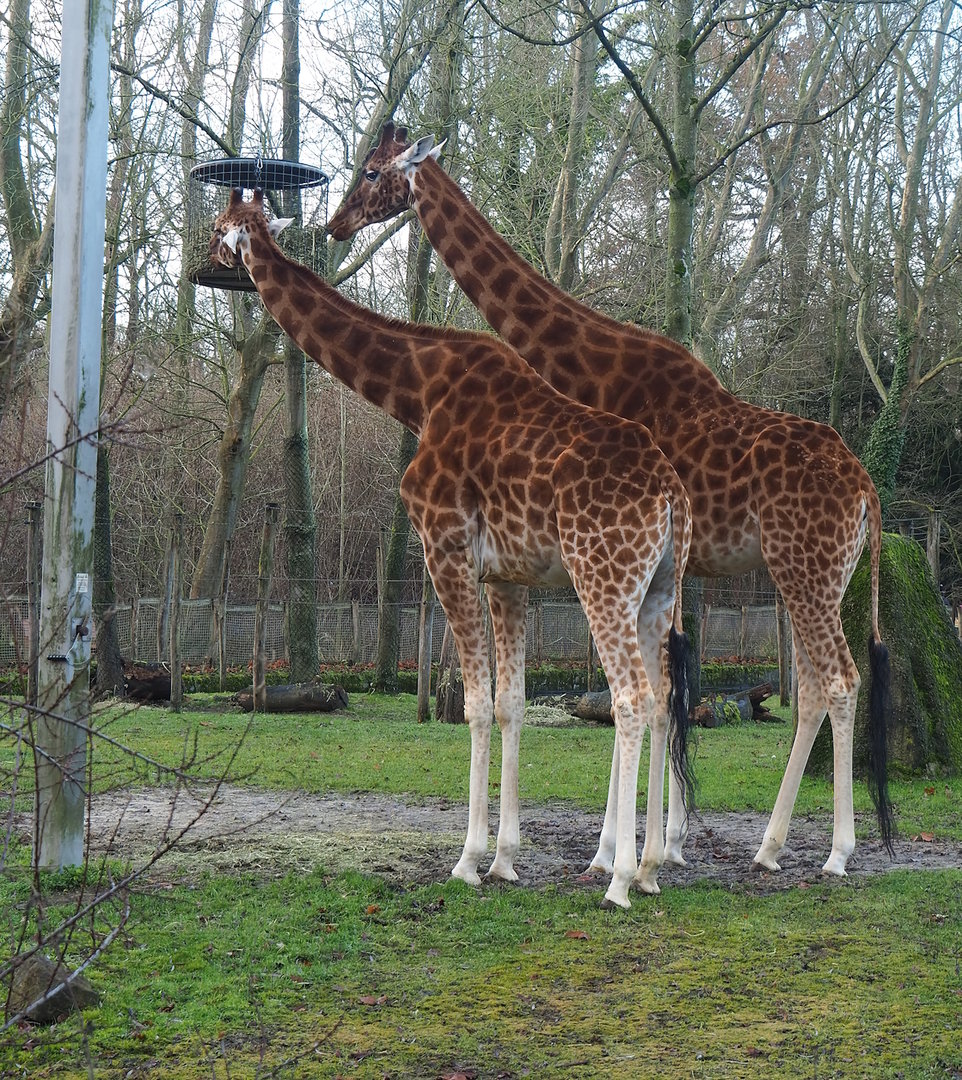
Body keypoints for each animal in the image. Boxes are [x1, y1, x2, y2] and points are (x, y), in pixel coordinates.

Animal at [209, 187, 694, 908]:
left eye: (221, 226)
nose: (211, 262)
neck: (417, 389)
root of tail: (669, 493)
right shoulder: (508, 576)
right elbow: (512, 704)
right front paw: (507, 859)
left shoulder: (445, 548)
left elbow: (473, 705)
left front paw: (467, 859)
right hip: (658, 587)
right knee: (662, 699)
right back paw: (654, 866)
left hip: (602, 578)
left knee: (632, 697)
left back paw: (621, 879)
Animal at [328, 123, 895, 877]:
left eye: (370, 171)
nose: (334, 226)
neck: (591, 368)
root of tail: (867, 491)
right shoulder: (673, 566)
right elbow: (672, 688)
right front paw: (664, 845)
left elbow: (657, 690)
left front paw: (621, 852)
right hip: (813, 575)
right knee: (810, 686)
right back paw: (770, 847)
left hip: (805, 569)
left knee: (838, 680)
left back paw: (834, 852)